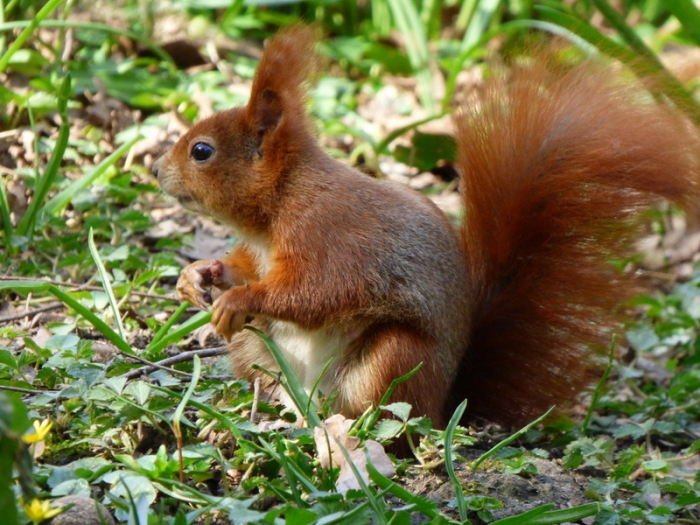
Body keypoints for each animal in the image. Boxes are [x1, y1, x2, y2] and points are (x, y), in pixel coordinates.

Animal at [152, 25, 700, 431]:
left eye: (202, 151)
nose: (156, 170)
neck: (281, 201)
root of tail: (448, 401)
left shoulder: (329, 233)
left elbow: (315, 292)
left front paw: (237, 299)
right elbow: (245, 268)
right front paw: (198, 275)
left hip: (396, 359)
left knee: (389, 414)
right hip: (258, 350)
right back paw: (270, 409)